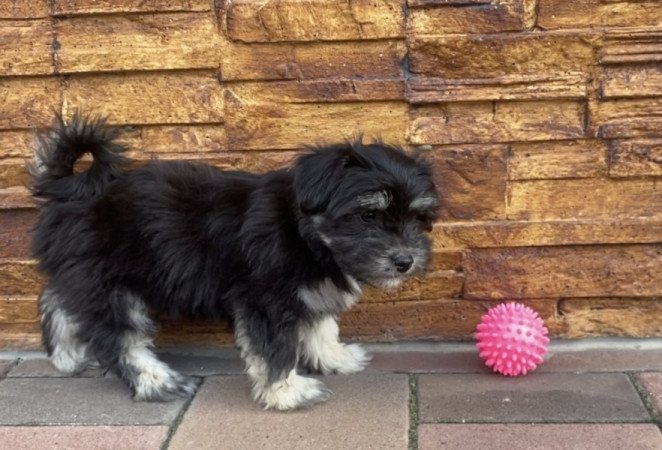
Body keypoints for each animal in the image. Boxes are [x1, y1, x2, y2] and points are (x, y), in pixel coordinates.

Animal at [31, 114, 444, 410]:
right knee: (119, 338)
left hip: (87, 276)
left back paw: (65, 356)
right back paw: (157, 382)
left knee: (58, 300)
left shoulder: (309, 292)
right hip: (107, 285)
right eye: (369, 216)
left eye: (418, 217)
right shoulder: (265, 301)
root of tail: (72, 191)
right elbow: (276, 348)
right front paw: (287, 392)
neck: (305, 232)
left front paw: (334, 358)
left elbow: (321, 327)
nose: (405, 260)